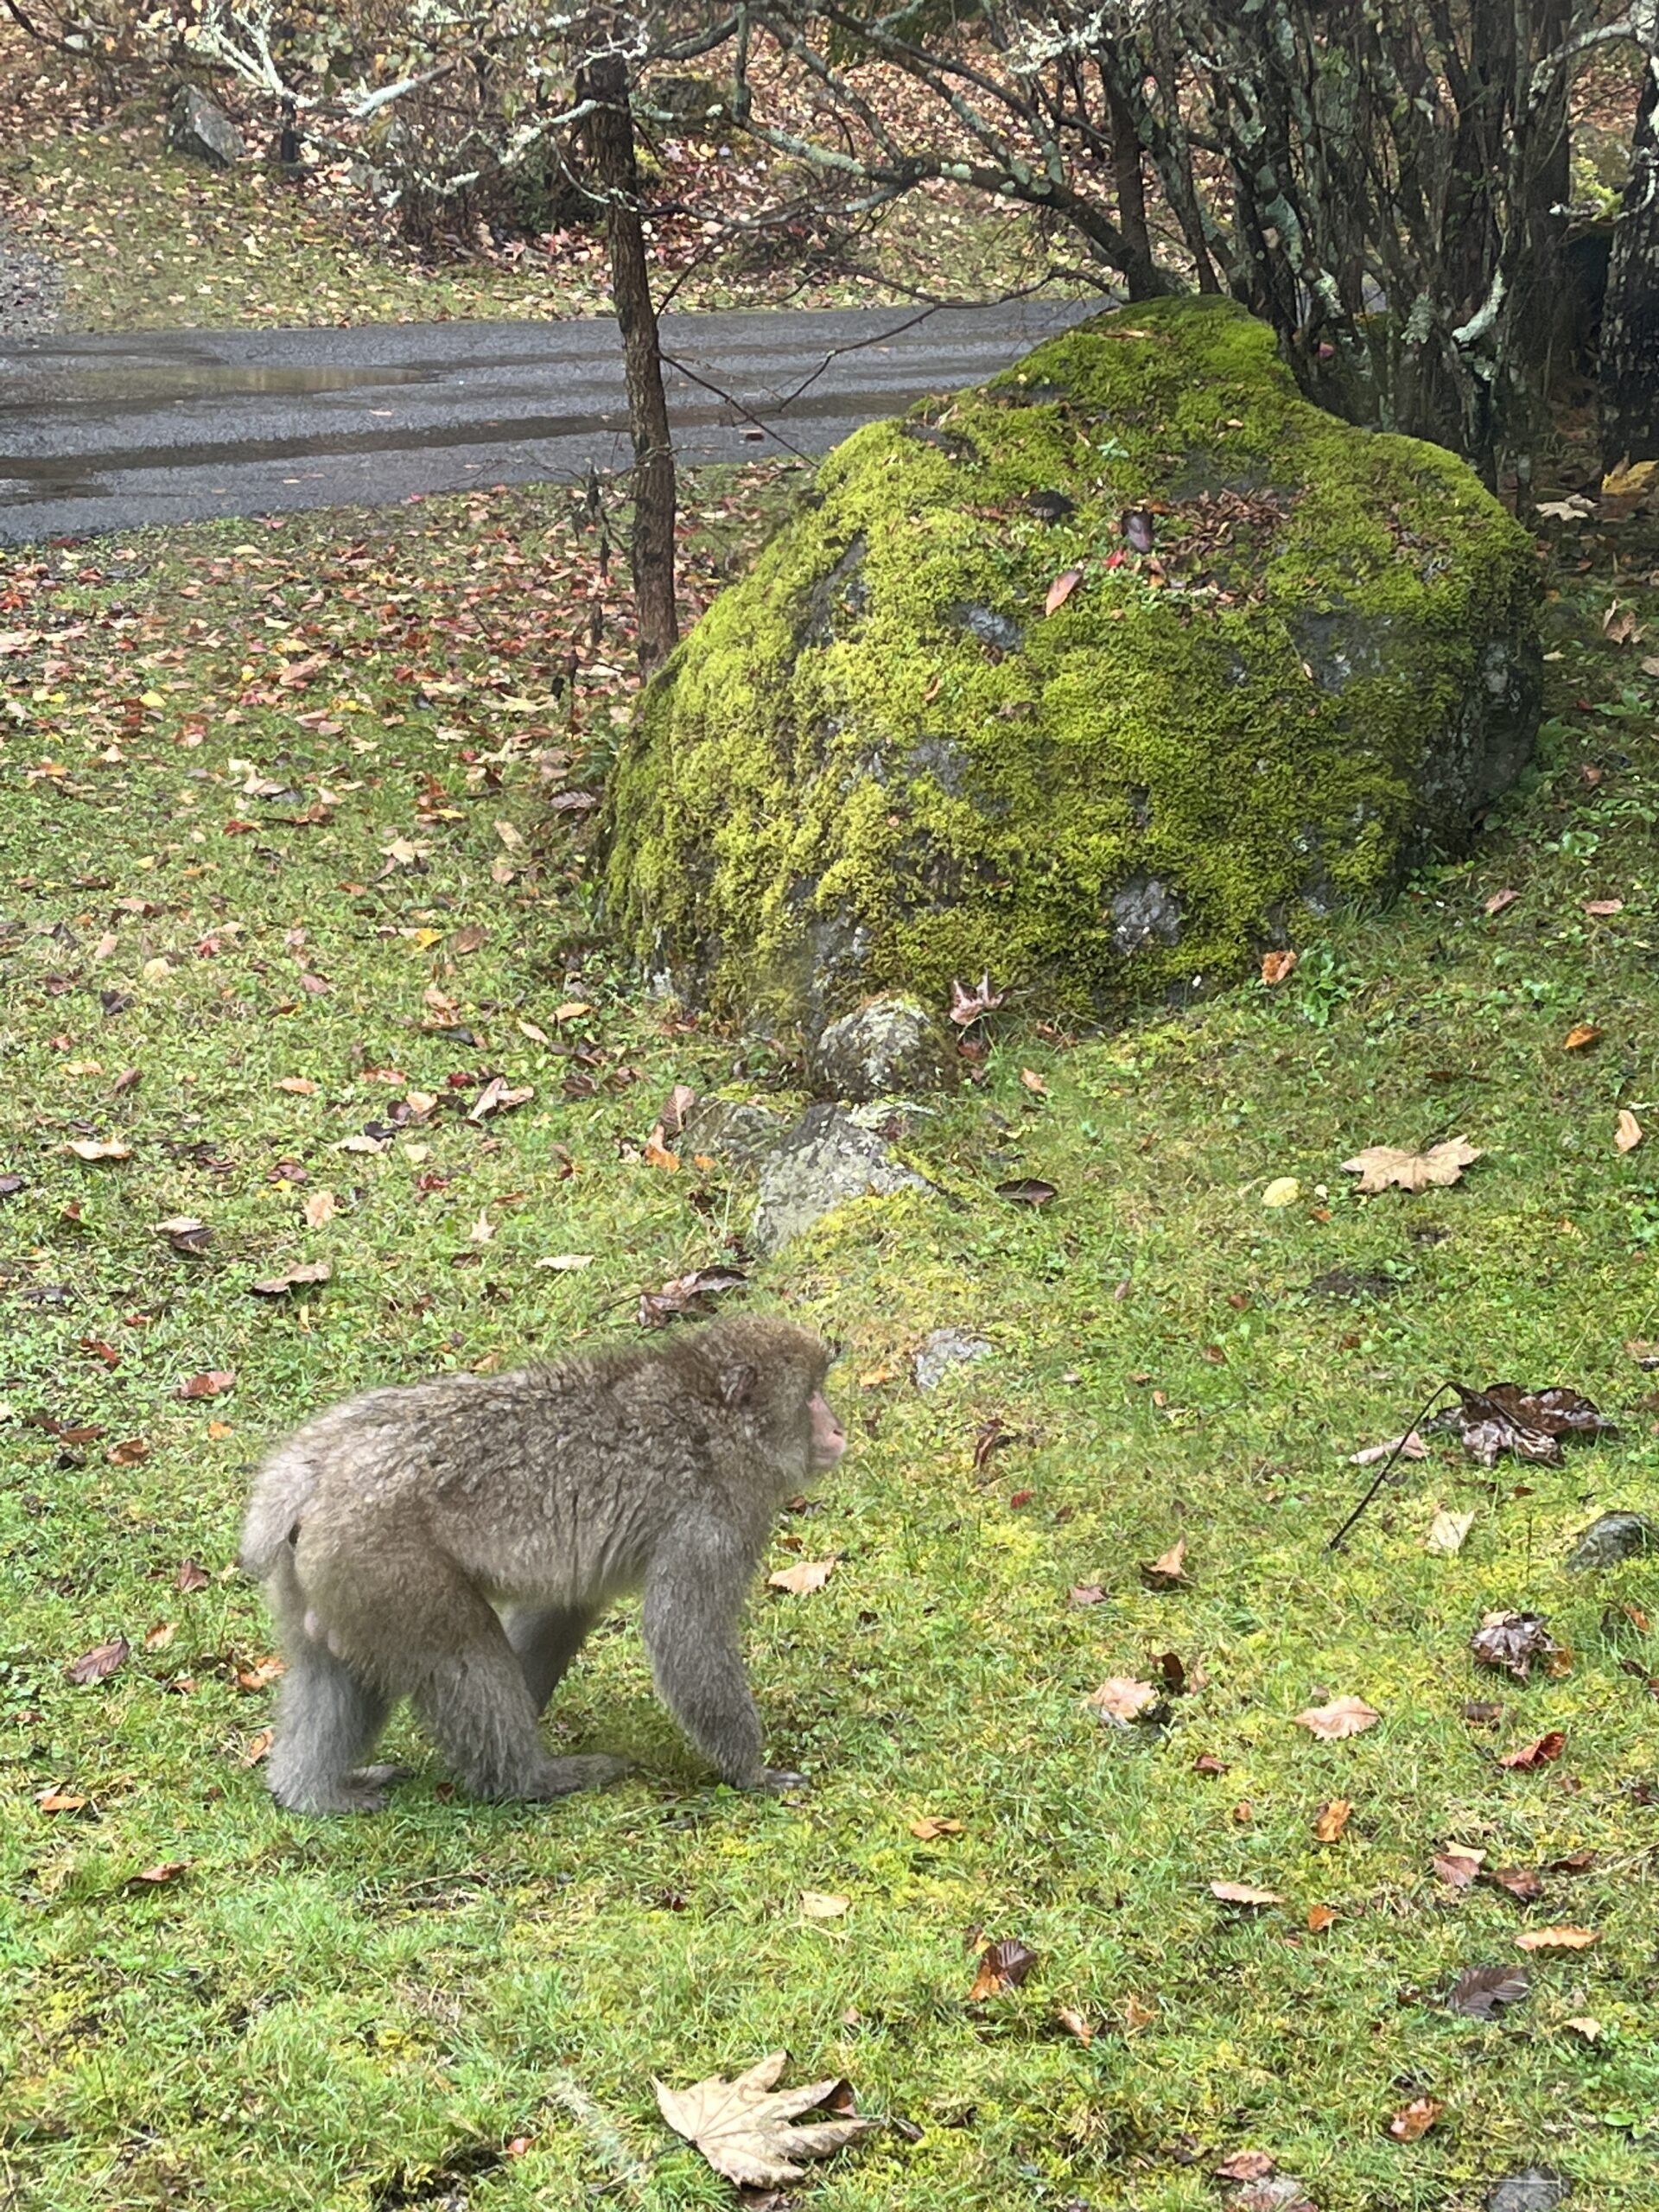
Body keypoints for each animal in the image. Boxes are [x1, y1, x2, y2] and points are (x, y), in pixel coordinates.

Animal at [237, 1316, 846, 1815]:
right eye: (812, 1396)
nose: (838, 1428)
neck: (712, 1421)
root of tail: (311, 1473)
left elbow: (561, 1607)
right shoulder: (712, 1518)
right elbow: (683, 1632)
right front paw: (752, 1771)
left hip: (330, 1574)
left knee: (334, 1668)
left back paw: (310, 1792)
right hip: (383, 1559)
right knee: (462, 1647)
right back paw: (528, 1780)